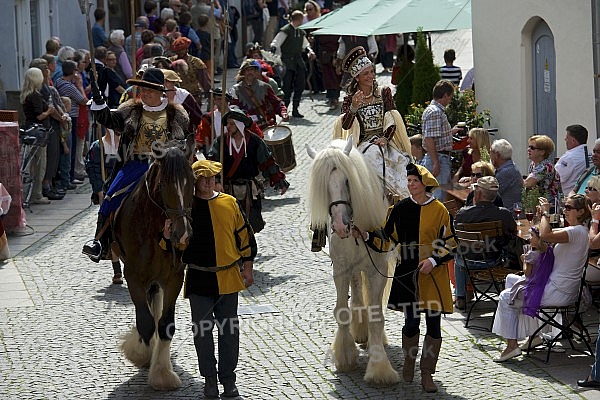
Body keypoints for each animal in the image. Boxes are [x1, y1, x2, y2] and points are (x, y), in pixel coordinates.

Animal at [112, 138, 195, 390]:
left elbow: (165, 324)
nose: (182, 234)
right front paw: (139, 354)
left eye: (192, 180)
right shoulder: (133, 276)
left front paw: (162, 373)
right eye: (165, 182)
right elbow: (146, 324)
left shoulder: (174, 278)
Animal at [308, 138, 400, 388]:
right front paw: (345, 356)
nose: (340, 226)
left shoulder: (377, 271)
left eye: (347, 180)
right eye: (323, 185)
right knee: (357, 291)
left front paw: (379, 370)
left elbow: (377, 317)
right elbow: (341, 310)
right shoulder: (341, 269)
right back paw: (359, 330)